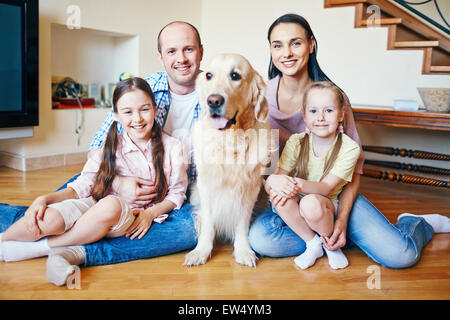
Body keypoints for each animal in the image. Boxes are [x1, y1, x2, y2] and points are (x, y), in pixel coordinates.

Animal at [184, 53, 272, 268]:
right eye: (209, 75)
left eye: (235, 75)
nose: (213, 101)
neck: (229, 142)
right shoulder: (206, 186)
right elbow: (208, 222)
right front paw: (201, 251)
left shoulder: (250, 189)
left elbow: (241, 223)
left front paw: (243, 251)